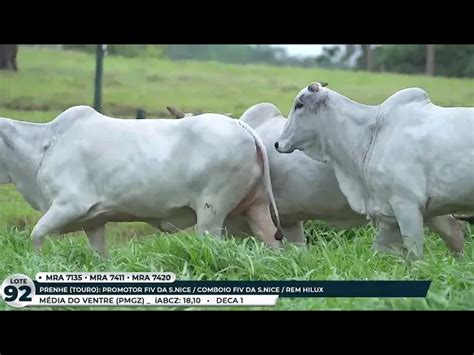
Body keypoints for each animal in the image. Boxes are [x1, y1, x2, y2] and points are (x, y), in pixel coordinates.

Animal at [0, 105, 284, 256]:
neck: (45, 144)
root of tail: (241, 127)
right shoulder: (94, 222)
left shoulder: (68, 206)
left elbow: (36, 236)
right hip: (256, 207)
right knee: (273, 241)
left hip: (210, 214)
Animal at [276, 82, 472, 260]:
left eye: (299, 105)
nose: (277, 144)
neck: (371, 132)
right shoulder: (389, 216)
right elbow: (378, 251)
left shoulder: (408, 206)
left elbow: (415, 255)